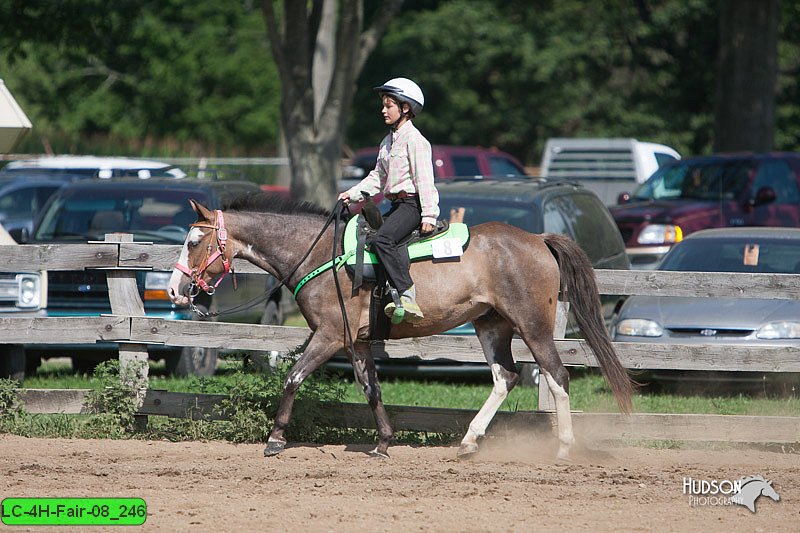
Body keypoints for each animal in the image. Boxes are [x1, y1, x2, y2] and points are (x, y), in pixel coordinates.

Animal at [167, 193, 632, 460]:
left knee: (556, 375)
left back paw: (564, 447)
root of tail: (538, 239)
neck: (317, 253)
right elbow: (371, 389)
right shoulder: (355, 343)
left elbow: (293, 377)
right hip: (491, 325)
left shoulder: (329, 336)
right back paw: (469, 442)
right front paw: (384, 442)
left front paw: (276, 439)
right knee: (506, 376)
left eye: (193, 241)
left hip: (532, 324)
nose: (175, 290)